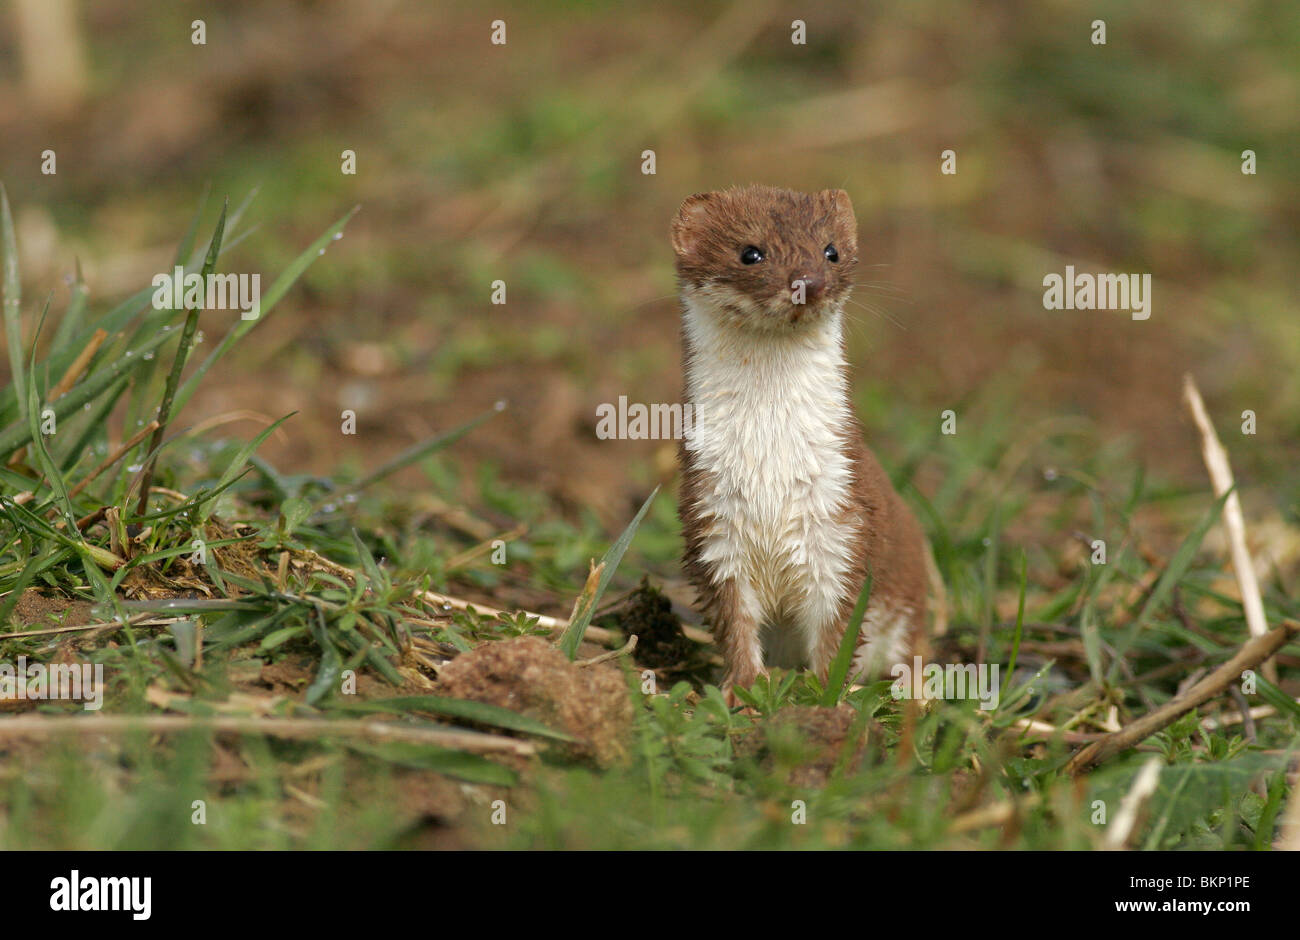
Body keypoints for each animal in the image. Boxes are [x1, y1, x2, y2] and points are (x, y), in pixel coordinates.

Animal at [676, 185, 930, 696]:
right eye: (750, 252)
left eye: (831, 250)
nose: (807, 283)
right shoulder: (711, 519)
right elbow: (734, 620)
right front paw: (744, 686)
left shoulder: (843, 518)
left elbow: (838, 622)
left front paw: (829, 691)